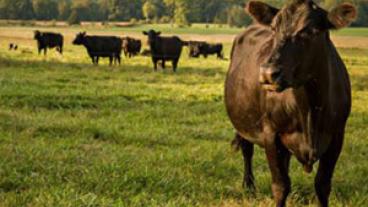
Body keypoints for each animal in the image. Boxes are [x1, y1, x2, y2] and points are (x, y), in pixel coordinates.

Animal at [224, 0, 356, 206]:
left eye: (311, 31)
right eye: (273, 28)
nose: (268, 73)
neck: (310, 109)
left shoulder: (337, 135)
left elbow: (322, 185)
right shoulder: (270, 133)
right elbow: (281, 186)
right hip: (243, 122)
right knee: (247, 149)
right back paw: (249, 186)